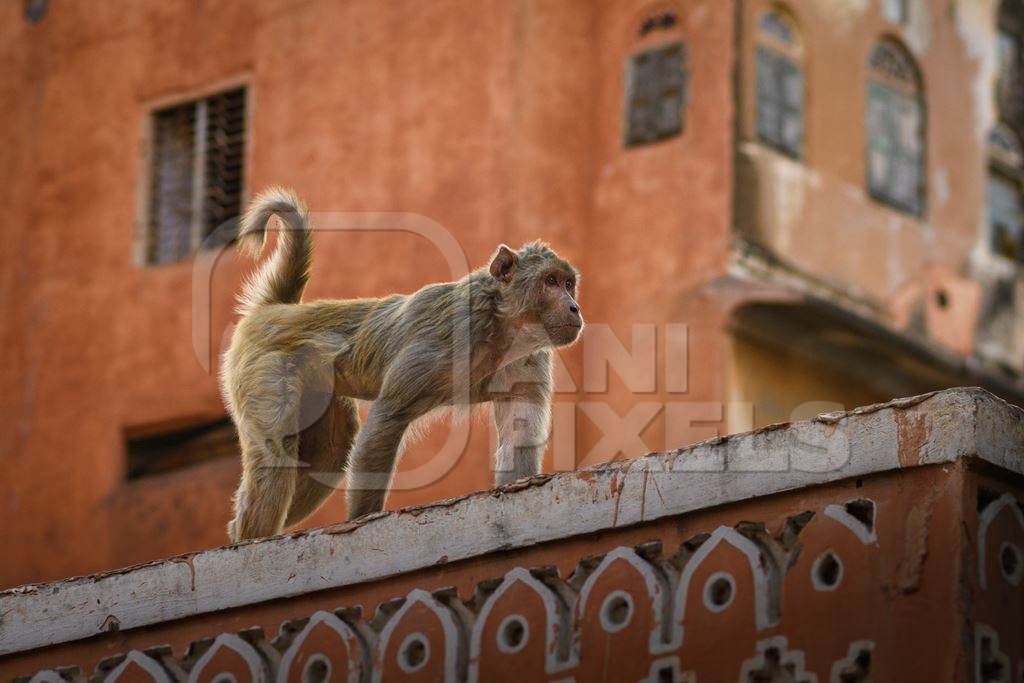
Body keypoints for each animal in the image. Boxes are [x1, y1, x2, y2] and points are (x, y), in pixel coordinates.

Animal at [219, 187, 581, 540]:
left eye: (568, 283)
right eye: (550, 281)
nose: (575, 307)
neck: (501, 325)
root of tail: (275, 310)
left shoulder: (529, 361)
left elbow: (520, 434)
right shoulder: (444, 339)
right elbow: (386, 420)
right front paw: (361, 521)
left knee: (329, 455)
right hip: (263, 370)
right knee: (276, 453)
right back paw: (252, 538)